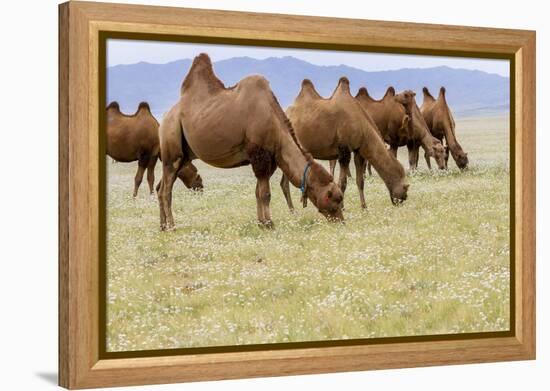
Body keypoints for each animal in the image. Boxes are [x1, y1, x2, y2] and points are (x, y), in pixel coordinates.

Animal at [156, 52, 344, 230]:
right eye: (334, 199)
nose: (341, 221)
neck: (275, 125)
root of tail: (164, 118)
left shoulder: (268, 159)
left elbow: (257, 193)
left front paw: (261, 223)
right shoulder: (259, 156)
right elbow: (265, 194)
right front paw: (269, 224)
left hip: (184, 155)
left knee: (161, 188)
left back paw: (163, 226)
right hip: (171, 143)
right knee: (166, 190)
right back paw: (172, 226)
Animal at [284, 77, 410, 211]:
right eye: (405, 186)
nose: (403, 198)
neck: (363, 127)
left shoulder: (358, 150)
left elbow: (360, 181)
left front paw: (364, 207)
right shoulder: (344, 150)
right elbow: (343, 183)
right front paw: (342, 207)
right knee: (284, 183)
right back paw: (292, 210)